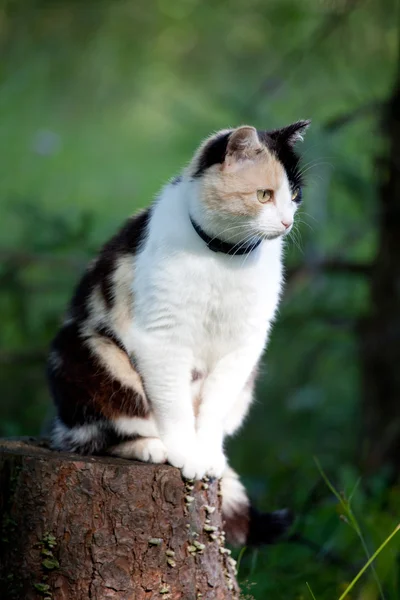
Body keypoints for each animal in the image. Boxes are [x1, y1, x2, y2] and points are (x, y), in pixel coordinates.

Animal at [47, 119, 310, 548]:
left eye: (296, 196)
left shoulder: (244, 347)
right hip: (86, 353)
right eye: (264, 195)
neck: (224, 258)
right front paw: (186, 453)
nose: (288, 222)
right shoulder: (163, 339)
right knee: (102, 431)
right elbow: (173, 404)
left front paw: (206, 454)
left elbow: (213, 408)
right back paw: (152, 448)